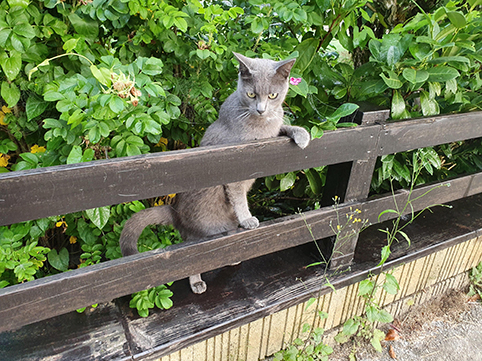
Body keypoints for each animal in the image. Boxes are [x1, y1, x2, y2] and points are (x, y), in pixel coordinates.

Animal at [120, 52, 308, 292]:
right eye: (251, 94)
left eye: (273, 95)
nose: (261, 109)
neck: (261, 126)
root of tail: (175, 212)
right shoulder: (235, 166)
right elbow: (238, 196)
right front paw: (248, 219)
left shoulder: (272, 131)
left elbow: (283, 127)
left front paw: (302, 135)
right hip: (199, 234)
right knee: (193, 257)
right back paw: (197, 282)